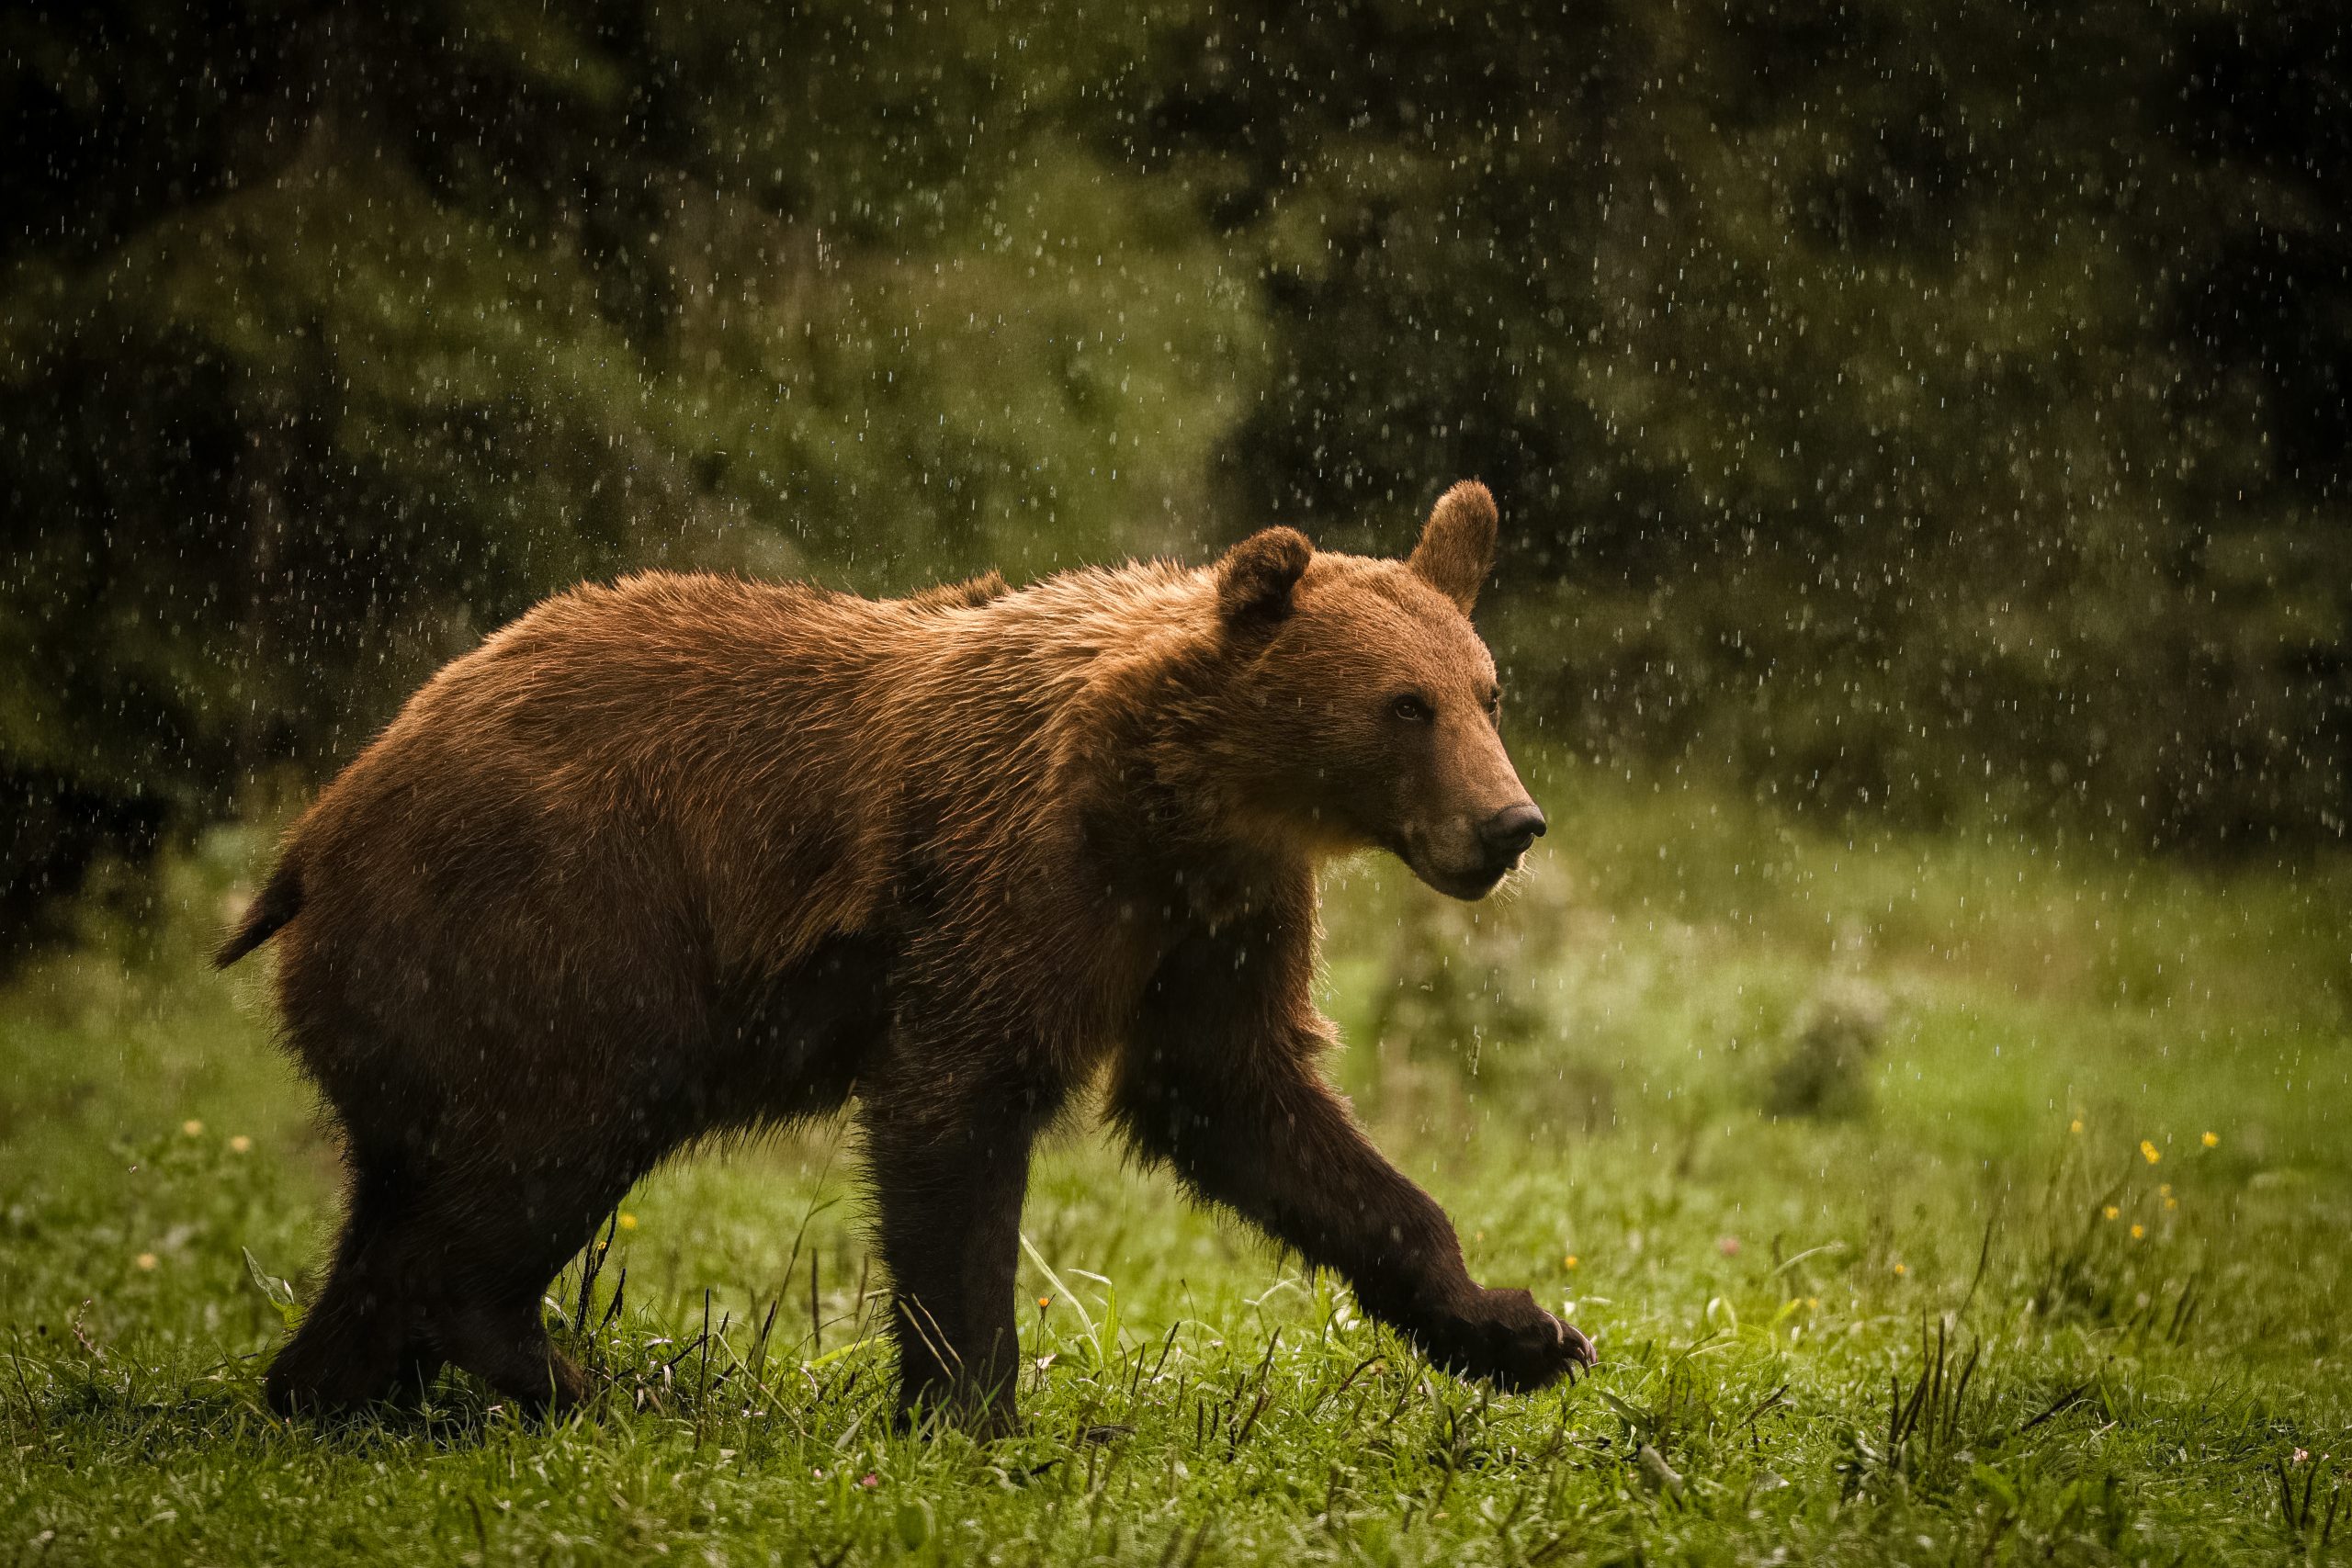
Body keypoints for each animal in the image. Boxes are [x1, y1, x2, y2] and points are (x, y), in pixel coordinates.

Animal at [216, 484, 1599, 1429]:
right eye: (1403, 705)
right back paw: (576, 1377)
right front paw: (973, 1407)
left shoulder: (1219, 919)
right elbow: (958, 1110)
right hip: (548, 934)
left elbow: (1247, 1099)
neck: (1172, 799)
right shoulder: (1012, 878)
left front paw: (1518, 1330)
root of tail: (319, 827)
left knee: (400, 1199)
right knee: (539, 1148)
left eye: (1485, 690)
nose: (1510, 823)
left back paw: (329, 1387)